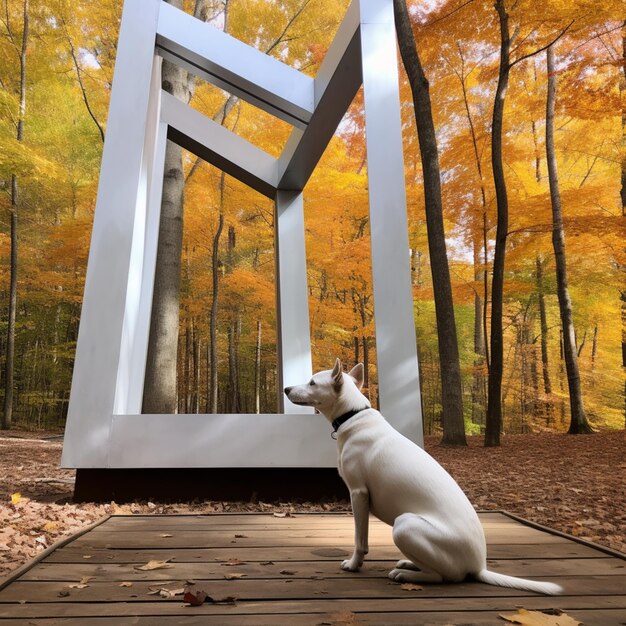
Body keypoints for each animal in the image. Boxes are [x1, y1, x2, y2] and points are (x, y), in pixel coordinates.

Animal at [284, 358, 560, 592]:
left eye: (312, 382)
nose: (286, 389)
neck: (353, 415)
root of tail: (479, 566)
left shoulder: (359, 494)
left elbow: (360, 540)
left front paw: (353, 565)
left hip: (404, 525)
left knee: (443, 576)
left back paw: (405, 574)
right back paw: (408, 564)